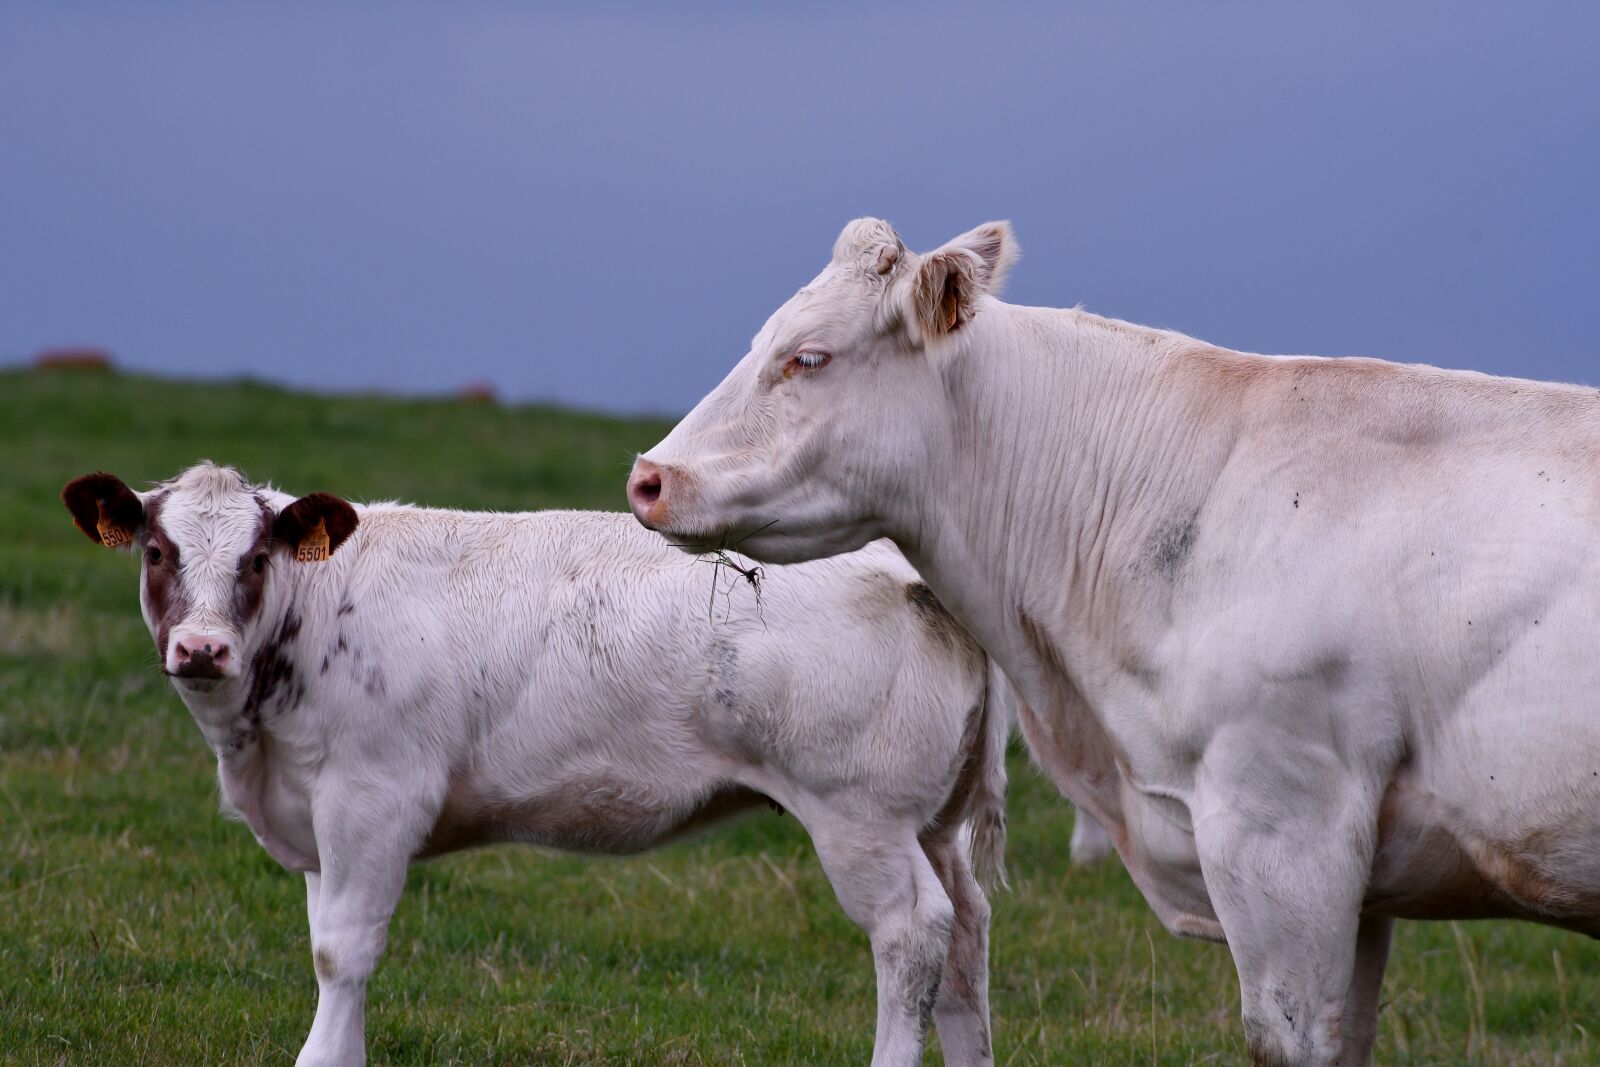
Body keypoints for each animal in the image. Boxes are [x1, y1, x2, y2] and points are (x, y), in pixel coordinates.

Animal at [62, 462, 1009, 1067]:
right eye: (157, 552)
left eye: (256, 558)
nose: (201, 647)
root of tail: (905, 564)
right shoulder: (315, 813)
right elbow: (329, 945)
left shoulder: (374, 798)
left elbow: (343, 951)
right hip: (931, 824)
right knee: (965, 940)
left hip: (860, 816)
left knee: (912, 933)